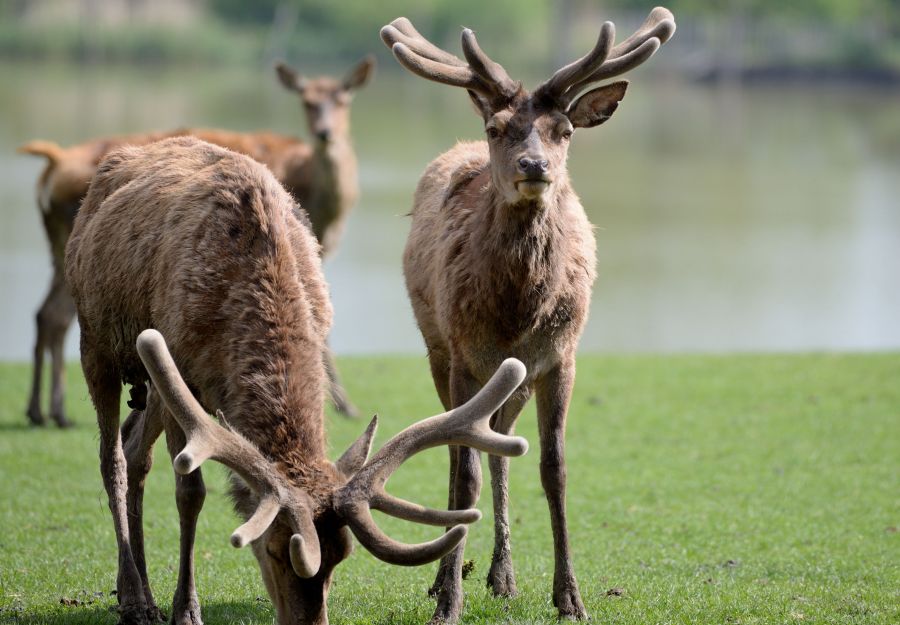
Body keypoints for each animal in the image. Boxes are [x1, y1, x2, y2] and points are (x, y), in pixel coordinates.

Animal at [18, 56, 376, 424]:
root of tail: (52, 165)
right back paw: (55, 410)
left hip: (60, 247)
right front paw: (346, 404)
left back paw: (40, 410)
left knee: (45, 314)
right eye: (307, 101)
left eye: (343, 100)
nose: (325, 133)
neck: (326, 208)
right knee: (59, 318)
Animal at [67, 135, 532, 624]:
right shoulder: (179, 369)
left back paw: (140, 593)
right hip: (96, 341)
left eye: (340, 557)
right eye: (272, 549)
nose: (310, 620)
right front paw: (187, 609)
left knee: (136, 448)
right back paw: (135, 597)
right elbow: (189, 491)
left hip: (151, 388)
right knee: (113, 461)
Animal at [380, 7, 676, 620]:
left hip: (514, 378)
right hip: (436, 349)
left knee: (501, 444)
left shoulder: (561, 357)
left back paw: (503, 575)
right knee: (458, 448)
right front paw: (449, 600)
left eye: (564, 131)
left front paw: (570, 598)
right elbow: (464, 468)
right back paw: (447, 574)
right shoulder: (464, 354)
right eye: (498, 129)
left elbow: (554, 468)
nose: (534, 166)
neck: (518, 312)